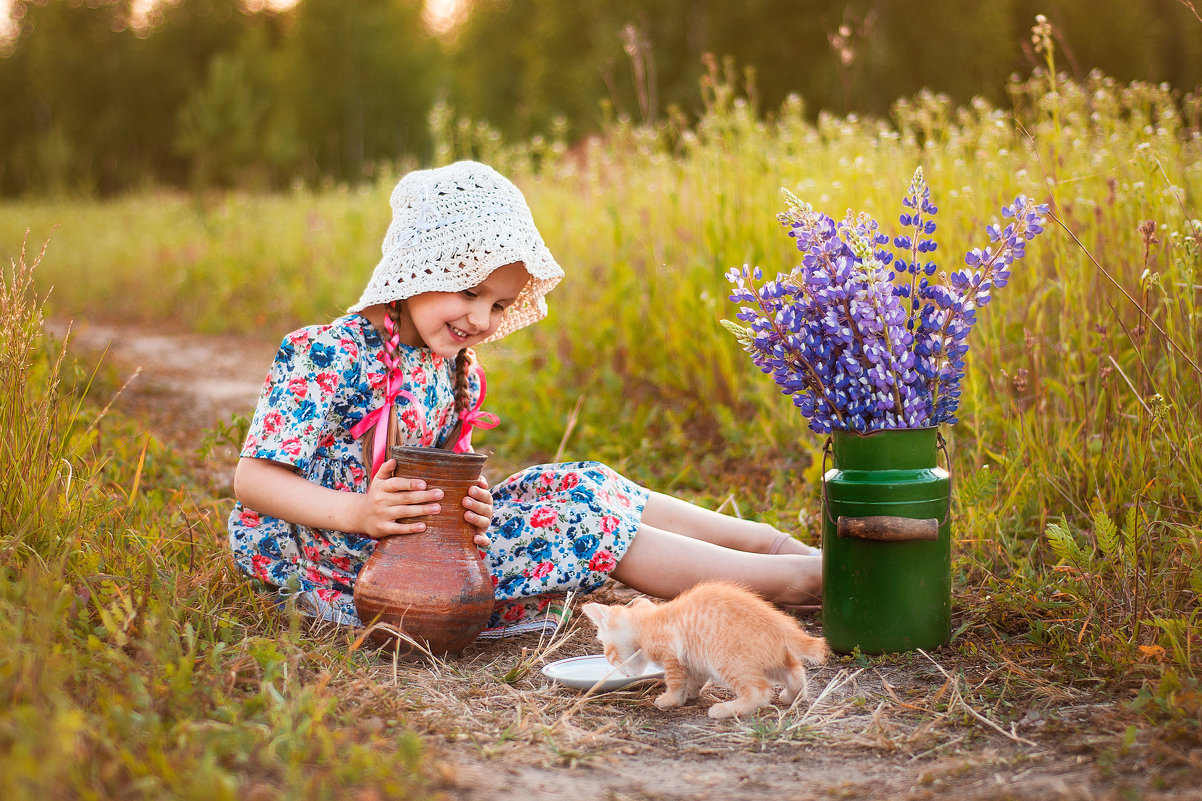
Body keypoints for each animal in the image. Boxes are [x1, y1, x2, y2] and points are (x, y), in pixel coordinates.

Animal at [579, 577, 826, 712]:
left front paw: (670, 699)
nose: (622, 673)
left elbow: (675, 680)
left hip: (727, 660)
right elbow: (694, 679)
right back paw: (790, 696)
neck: (649, 622)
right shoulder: (693, 660)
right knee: (795, 672)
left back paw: (726, 709)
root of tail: (783, 627)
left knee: (760, 691)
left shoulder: (672, 652)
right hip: (769, 661)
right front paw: (688, 694)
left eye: (610, 655)